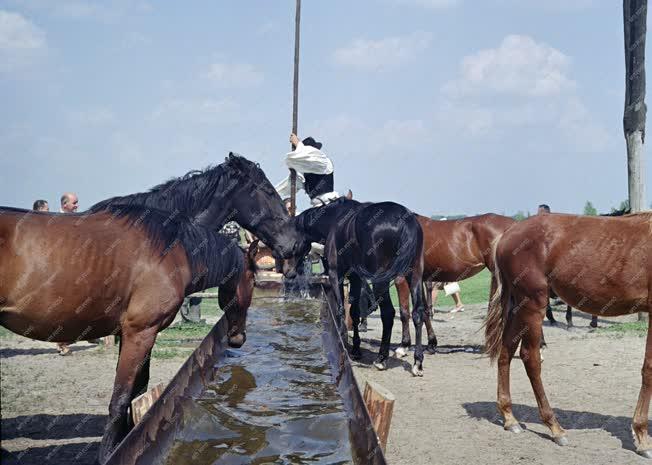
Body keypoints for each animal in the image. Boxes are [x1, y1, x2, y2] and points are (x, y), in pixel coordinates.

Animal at [0, 205, 260, 462]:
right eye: (253, 281)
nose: (239, 339)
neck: (174, 253)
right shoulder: (140, 333)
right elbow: (121, 398)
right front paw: (107, 454)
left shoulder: (135, 335)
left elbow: (138, 390)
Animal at [292, 198, 426, 376]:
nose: (291, 250)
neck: (335, 219)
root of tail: (406, 220)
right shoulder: (355, 278)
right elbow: (354, 312)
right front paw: (355, 348)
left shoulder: (336, 275)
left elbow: (341, 309)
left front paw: (343, 343)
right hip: (415, 274)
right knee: (418, 313)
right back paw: (417, 362)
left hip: (381, 280)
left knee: (388, 313)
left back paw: (381, 358)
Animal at [486, 213, 648, 456]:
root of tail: (507, 235)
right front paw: (643, 438)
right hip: (533, 304)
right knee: (530, 358)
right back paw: (554, 428)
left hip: (519, 307)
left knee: (506, 350)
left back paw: (509, 418)